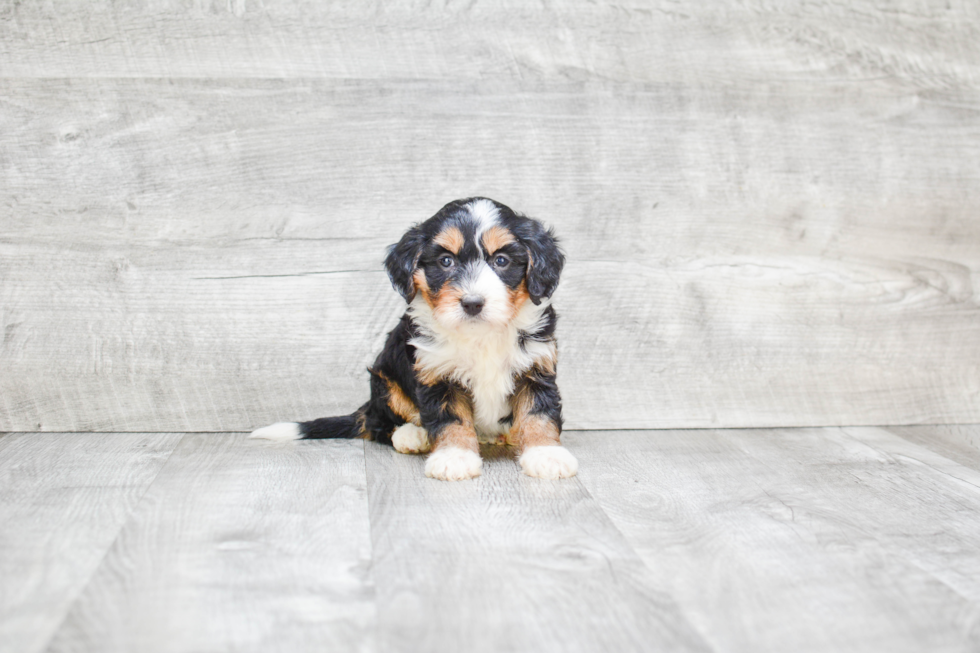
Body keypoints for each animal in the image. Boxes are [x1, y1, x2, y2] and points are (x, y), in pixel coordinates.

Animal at [249, 196, 580, 482]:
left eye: (501, 260)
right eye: (445, 261)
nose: (472, 303)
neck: (479, 334)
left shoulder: (536, 366)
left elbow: (538, 414)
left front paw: (545, 454)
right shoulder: (436, 373)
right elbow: (449, 418)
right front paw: (454, 457)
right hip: (385, 380)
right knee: (380, 424)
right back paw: (411, 434)